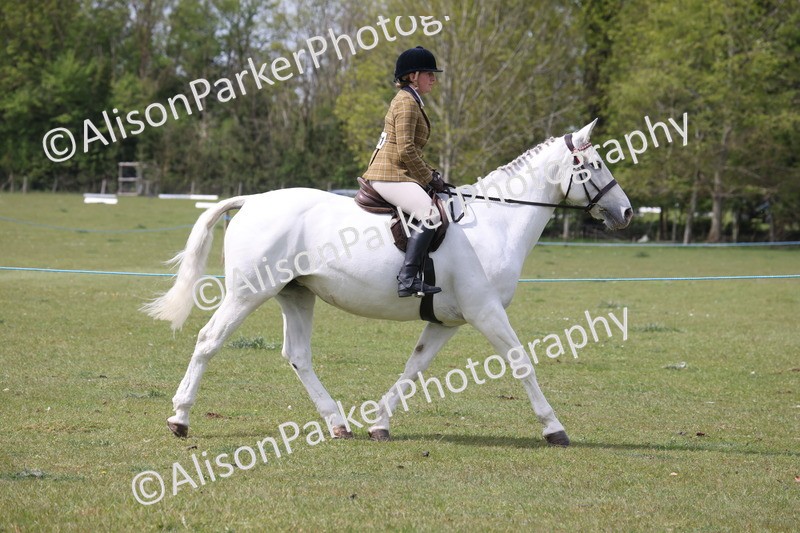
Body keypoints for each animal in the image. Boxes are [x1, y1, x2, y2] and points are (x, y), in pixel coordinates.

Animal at [142, 119, 633, 446]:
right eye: (597, 163)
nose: (625, 212)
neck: (496, 221)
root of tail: (252, 200)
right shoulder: (486, 311)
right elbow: (521, 362)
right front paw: (554, 428)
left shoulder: (447, 320)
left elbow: (413, 368)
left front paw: (380, 423)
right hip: (248, 293)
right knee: (209, 340)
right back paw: (180, 417)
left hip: (296, 295)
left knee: (298, 356)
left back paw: (338, 423)